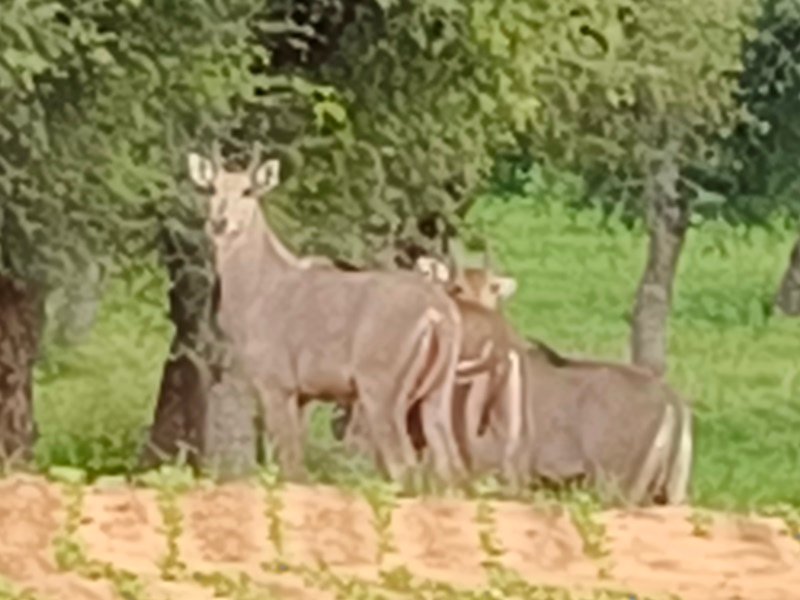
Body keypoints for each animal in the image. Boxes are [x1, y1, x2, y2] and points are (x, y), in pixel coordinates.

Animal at [186, 142, 467, 486]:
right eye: (212, 188)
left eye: (248, 190)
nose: (219, 222)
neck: (258, 289)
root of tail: (436, 313)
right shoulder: (304, 395)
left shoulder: (275, 384)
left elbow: (291, 467)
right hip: (436, 394)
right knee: (452, 469)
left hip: (382, 390)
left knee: (404, 467)